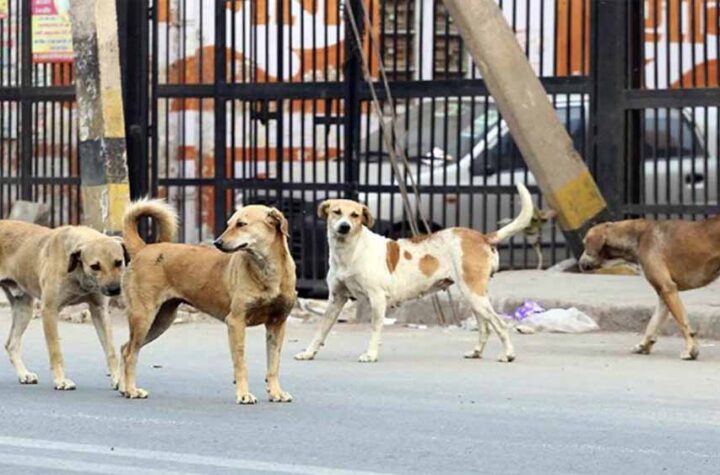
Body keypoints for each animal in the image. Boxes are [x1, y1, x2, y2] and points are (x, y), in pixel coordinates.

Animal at [0, 221, 127, 389]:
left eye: (119, 262)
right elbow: (56, 351)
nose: (114, 289)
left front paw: (118, 379)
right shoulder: (49, 310)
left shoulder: (99, 310)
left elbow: (110, 350)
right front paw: (61, 380)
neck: (78, 272)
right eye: (95, 266)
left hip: (24, 309)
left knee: (11, 344)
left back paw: (24, 374)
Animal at [119, 199, 296, 404]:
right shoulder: (236, 322)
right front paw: (243, 394)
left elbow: (273, 364)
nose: (217, 243)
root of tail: (143, 248)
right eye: (229, 224)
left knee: (124, 348)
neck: (266, 269)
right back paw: (132, 390)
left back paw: (123, 388)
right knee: (131, 354)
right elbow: (240, 363)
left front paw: (276, 392)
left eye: (241, 224)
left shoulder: (277, 323)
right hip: (143, 317)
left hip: (160, 321)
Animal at [294, 184, 533, 363]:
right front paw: (308, 352)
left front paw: (371, 354)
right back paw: (476, 352)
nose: (344, 227)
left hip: (474, 294)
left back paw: (508, 354)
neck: (350, 251)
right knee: (485, 327)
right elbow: (321, 330)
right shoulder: (336, 299)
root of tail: (482, 236)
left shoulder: (377, 299)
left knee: (500, 324)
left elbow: (375, 329)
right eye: (336, 212)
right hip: (472, 296)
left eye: (355, 215)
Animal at [578, 218, 720, 360]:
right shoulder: (664, 293)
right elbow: (652, 324)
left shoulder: (668, 288)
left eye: (585, 243)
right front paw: (644, 345)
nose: (580, 264)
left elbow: (683, 323)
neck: (637, 237)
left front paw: (690, 350)